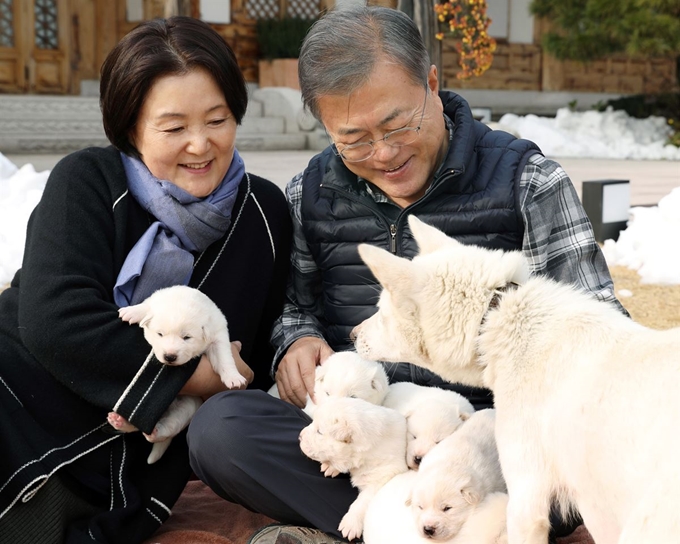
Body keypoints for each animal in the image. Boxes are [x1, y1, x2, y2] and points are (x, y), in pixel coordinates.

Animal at [106, 284, 244, 464]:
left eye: (187, 337)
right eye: (160, 334)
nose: (169, 357)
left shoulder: (218, 335)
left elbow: (224, 357)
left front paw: (233, 377)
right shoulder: (155, 299)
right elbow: (146, 306)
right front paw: (132, 311)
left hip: (187, 407)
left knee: (166, 427)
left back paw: (150, 430)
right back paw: (120, 421)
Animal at [298, 396, 406, 540]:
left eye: (319, 432)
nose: (300, 435)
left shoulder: (381, 478)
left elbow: (361, 503)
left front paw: (350, 524)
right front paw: (331, 466)